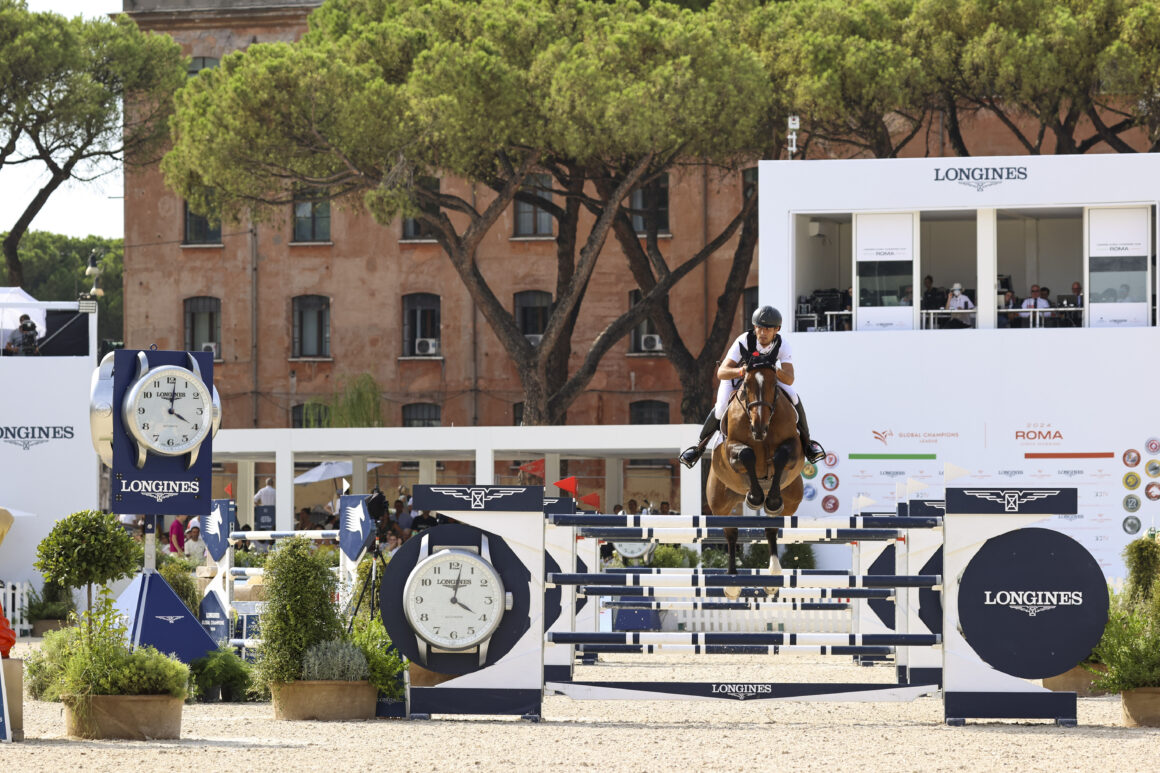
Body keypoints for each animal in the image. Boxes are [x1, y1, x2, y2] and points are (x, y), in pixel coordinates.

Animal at [700, 357, 802, 598]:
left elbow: (781, 455)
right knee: (731, 534)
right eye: (745, 386)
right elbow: (746, 454)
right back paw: (732, 584)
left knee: (772, 528)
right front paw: (755, 496)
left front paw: (769, 498)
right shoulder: (731, 447)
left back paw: (773, 575)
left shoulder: (794, 447)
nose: (758, 427)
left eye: (774, 385)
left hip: (791, 500)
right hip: (720, 504)